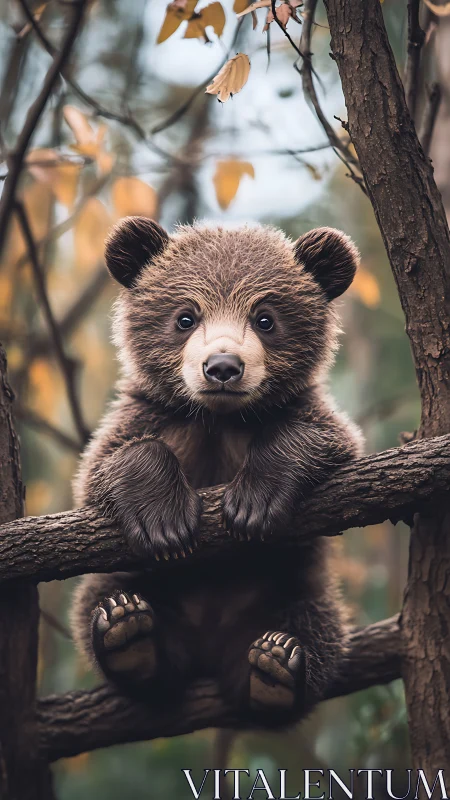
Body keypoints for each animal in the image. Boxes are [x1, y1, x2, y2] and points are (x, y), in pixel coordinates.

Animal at [71, 217, 363, 726]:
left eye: (265, 318)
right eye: (186, 317)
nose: (223, 366)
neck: (218, 419)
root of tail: (208, 648)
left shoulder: (305, 414)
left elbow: (326, 440)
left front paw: (252, 503)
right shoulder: (151, 417)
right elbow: (104, 466)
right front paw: (166, 520)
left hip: (288, 587)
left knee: (316, 625)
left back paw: (274, 667)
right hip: (147, 586)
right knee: (103, 599)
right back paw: (128, 634)